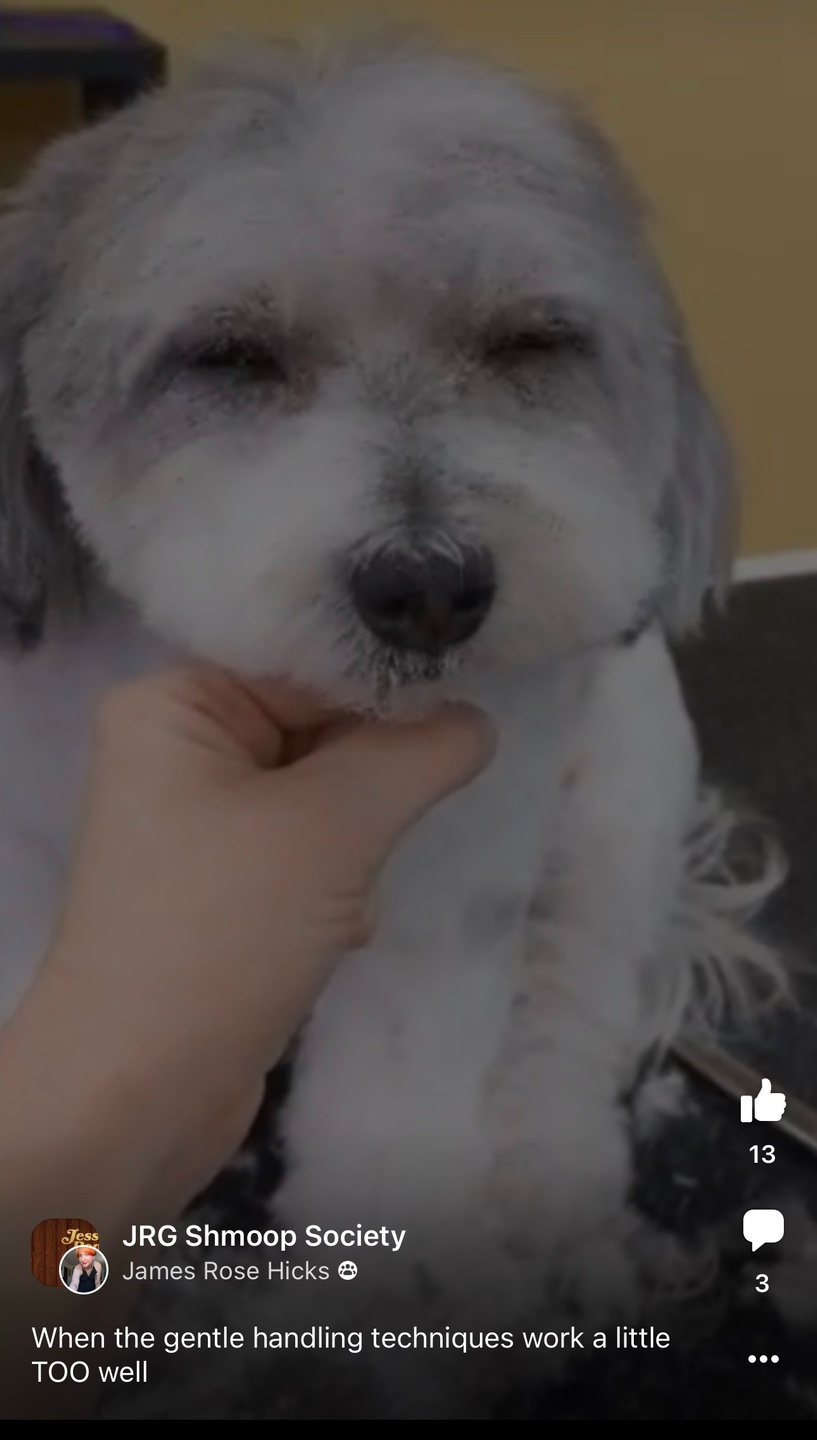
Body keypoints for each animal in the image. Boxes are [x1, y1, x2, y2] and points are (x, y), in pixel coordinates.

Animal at [0, 32, 784, 1417]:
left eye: (531, 342)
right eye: (228, 357)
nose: (427, 584)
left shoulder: (444, 901)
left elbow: (392, 1121)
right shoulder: (45, 870)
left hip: (614, 819)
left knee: (565, 1033)